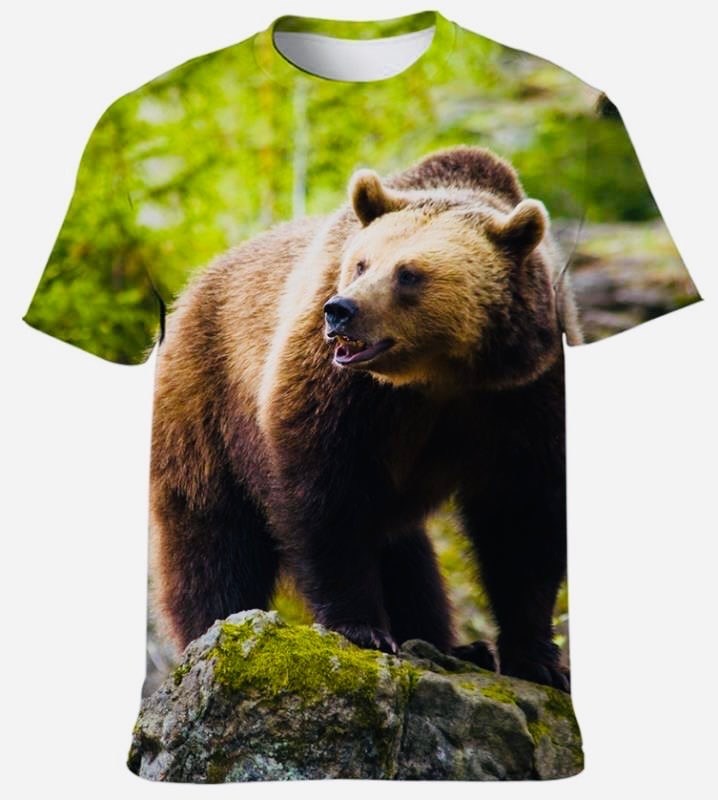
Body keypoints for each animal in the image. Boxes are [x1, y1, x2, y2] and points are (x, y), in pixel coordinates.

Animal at [148, 145, 583, 693]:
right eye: (360, 263)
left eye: (409, 273)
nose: (340, 311)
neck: (438, 375)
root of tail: (190, 289)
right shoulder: (338, 390)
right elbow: (324, 496)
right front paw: (361, 628)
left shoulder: (525, 391)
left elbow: (523, 518)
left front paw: (538, 658)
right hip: (206, 397)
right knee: (211, 532)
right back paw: (212, 626)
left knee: (405, 552)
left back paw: (453, 644)